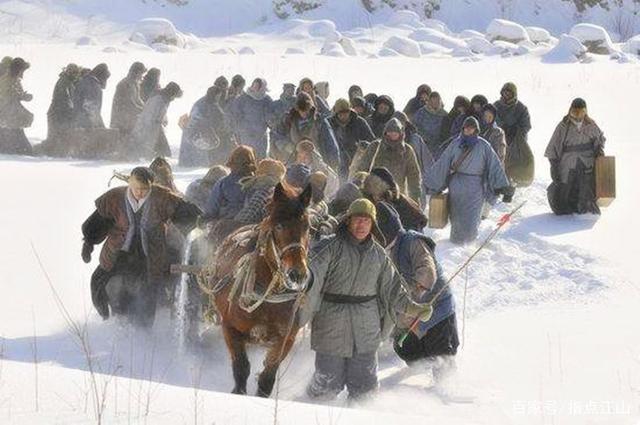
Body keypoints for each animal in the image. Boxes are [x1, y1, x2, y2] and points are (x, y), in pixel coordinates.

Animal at [211, 183, 312, 398]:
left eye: (307, 226)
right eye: (279, 225)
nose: (297, 274)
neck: (267, 298)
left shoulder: (286, 338)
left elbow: (268, 375)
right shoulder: (229, 328)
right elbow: (241, 368)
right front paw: (238, 392)